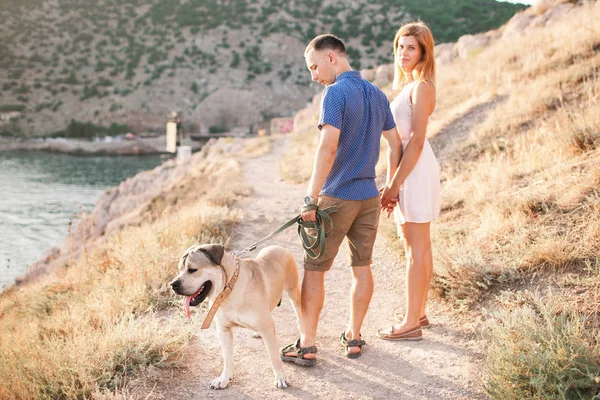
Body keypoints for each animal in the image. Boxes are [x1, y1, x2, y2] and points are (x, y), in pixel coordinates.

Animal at [169, 242, 300, 390]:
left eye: (192, 270)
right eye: (179, 270)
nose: (173, 284)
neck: (228, 289)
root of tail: (277, 246)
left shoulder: (267, 329)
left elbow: (274, 357)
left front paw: (281, 377)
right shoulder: (223, 331)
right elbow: (227, 358)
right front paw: (224, 379)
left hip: (293, 292)